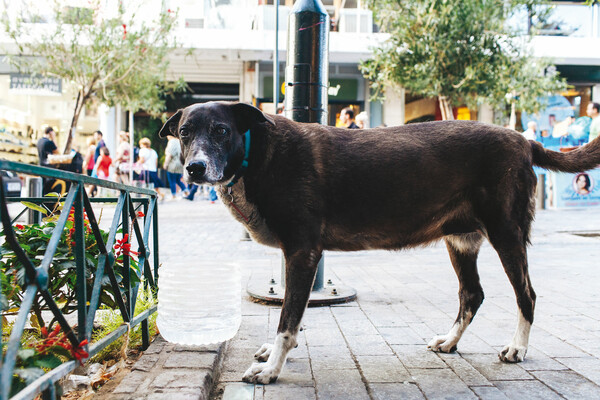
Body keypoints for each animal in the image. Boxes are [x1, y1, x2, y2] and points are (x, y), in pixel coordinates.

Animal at [158, 101, 600, 382]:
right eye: (184, 133)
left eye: (221, 131)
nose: (195, 168)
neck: (258, 151)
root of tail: (524, 140)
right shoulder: (296, 256)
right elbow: (290, 312)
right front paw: (275, 352)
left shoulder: (303, 252)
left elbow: (287, 320)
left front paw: (272, 370)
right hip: (461, 240)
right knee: (472, 295)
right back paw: (450, 341)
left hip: (506, 234)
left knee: (527, 295)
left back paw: (517, 349)